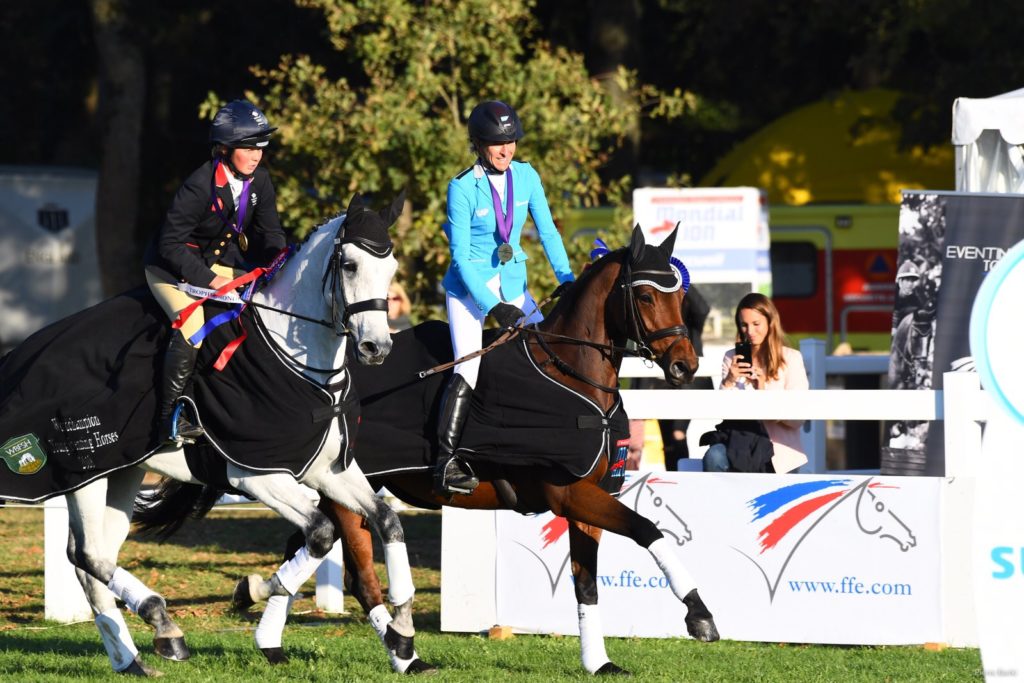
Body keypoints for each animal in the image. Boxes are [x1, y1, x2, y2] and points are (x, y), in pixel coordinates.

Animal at [0, 191, 432, 671]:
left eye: (391, 268)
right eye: (351, 265)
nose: (377, 348)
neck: (303, 368)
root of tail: (22, 355)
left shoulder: (328, 471)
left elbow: (388, 522)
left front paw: (403, 637)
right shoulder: (258, 475)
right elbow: (320, 535)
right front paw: (256, 598)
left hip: (122, 472)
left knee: (88, 561)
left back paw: (136, 657)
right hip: (82, 471)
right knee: (89, 555)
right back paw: (162, 624)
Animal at [142, 225, 720, 679]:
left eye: (679, 296)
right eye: (646, 298)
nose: (686, 365)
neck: (570, 376)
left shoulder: (585, 503)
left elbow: (587, 585)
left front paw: (598, 662)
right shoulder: (569, 493)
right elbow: (649, 530)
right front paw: (699, 614)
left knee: (311, 550)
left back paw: (269, 627)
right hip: (344, 491)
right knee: (359, 577)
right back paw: (401, 652)